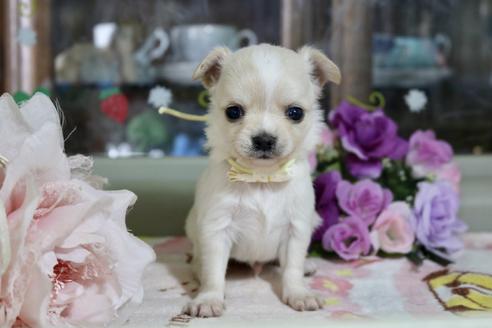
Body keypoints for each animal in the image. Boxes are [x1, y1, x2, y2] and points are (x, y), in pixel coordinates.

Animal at [183, 44, 340, 318]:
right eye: (233, 112)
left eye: (295, 113)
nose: (264, 139)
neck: (262, 178)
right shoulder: (217, 228)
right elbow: (213, 272)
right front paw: (209, 297)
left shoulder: (297, 228)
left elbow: (292, 268)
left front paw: (298, 293)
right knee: (202, 261)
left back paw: (307, 266)